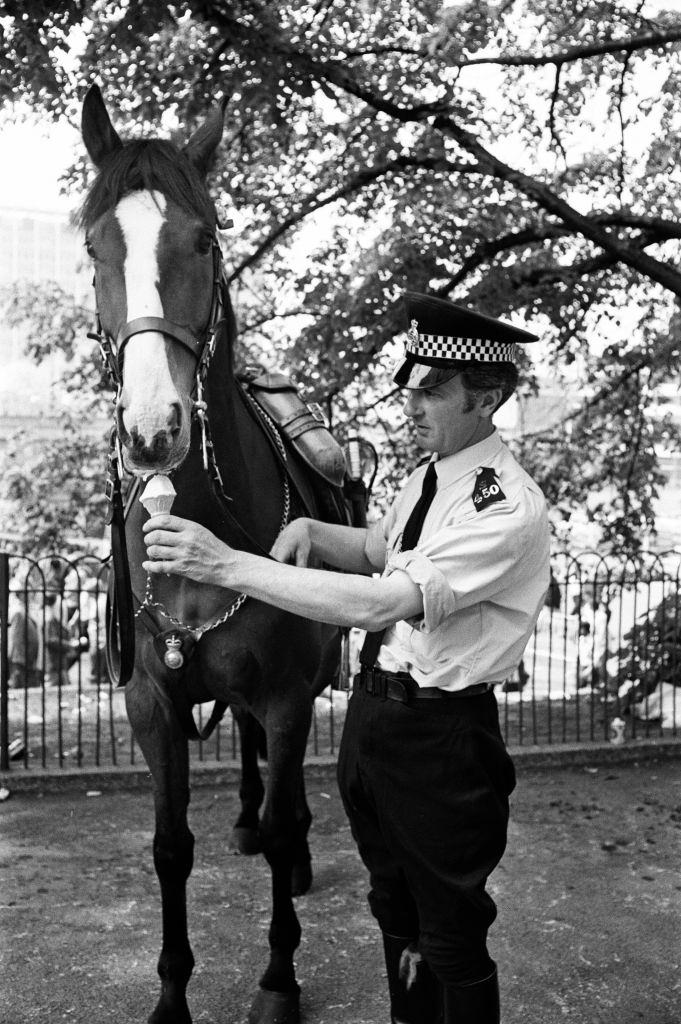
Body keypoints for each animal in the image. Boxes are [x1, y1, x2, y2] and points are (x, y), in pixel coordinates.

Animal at [80, 86, 346, 1024]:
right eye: (96, 245)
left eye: (204, 239)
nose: (153, 430)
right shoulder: (150, 701)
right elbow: (169, 846)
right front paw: (170, 994)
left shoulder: (288, 692)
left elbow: (285, 816)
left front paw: (278, 979)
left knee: (287, 800)